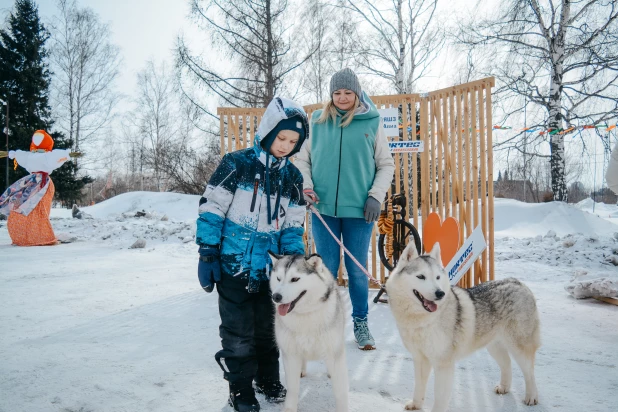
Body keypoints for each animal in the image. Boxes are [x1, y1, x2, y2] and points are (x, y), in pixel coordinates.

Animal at [268, 253, 348, 410]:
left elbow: (340, 391)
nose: (276, 297)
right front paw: (289, 409)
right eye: (278, 278)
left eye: (295, 279)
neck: (305, 314)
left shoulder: (334, 352)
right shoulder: (290, 353)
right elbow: (292, 389)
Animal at [388, 243, 536, 410]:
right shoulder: (420, 359)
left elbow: (440, 398)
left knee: (530, 372)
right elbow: (419, 387)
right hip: (494, 346)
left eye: (437, 277)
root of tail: (518, 283)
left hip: (519, 348)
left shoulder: (443, 364)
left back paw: (531, 397)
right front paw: (416, 404)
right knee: (507, 364)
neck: (423, 320)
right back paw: (504, 387)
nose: (440, 293)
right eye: (421, 276)